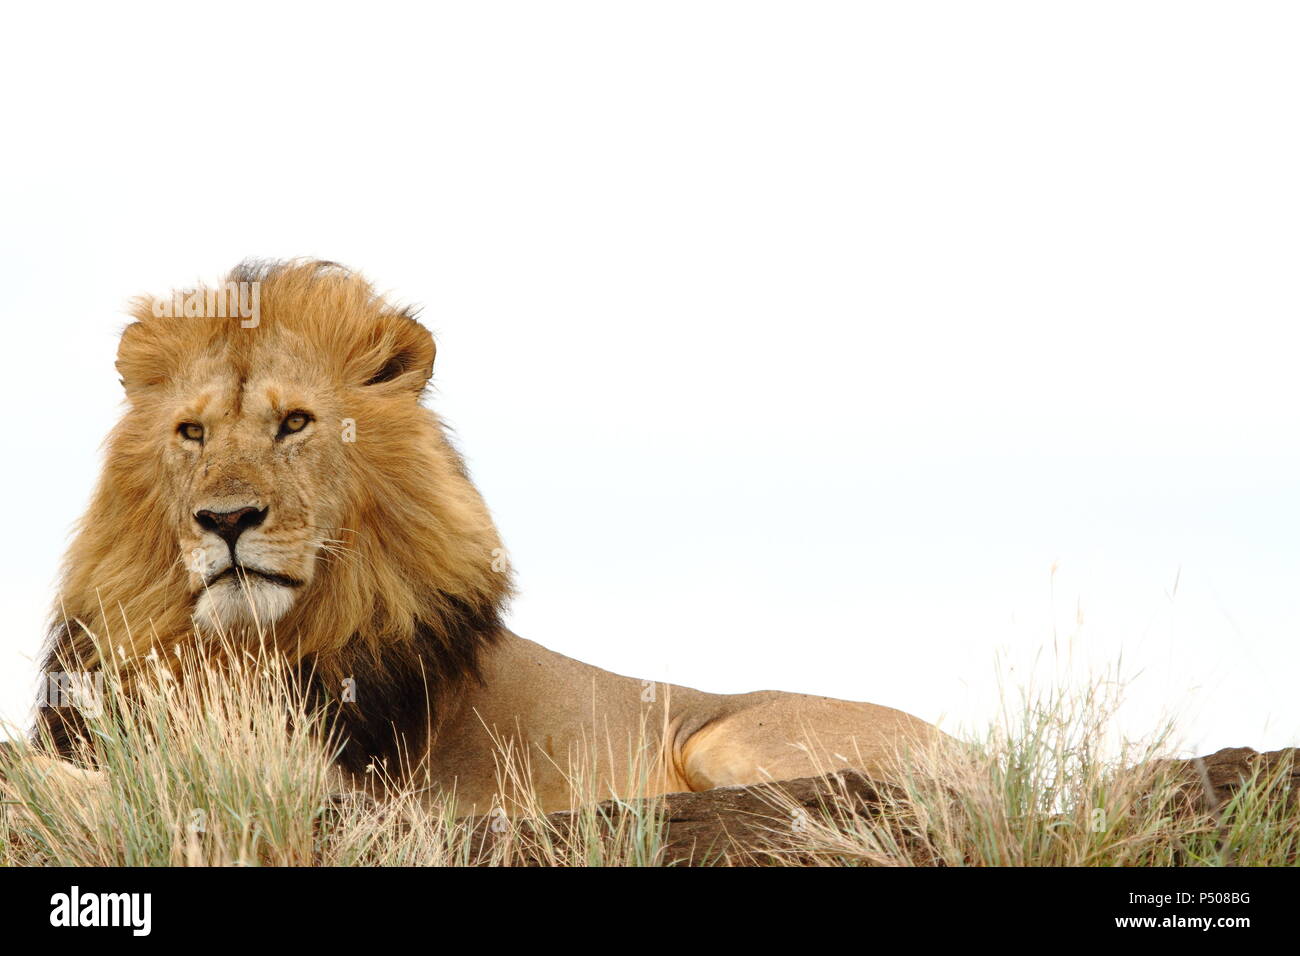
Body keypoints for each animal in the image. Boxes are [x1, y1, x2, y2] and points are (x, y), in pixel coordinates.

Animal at [23, 259, 943, 814]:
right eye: (192, 433)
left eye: (295, 423)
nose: (225, 521)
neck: (239, 647)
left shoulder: (336, 787)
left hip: (730, 741)